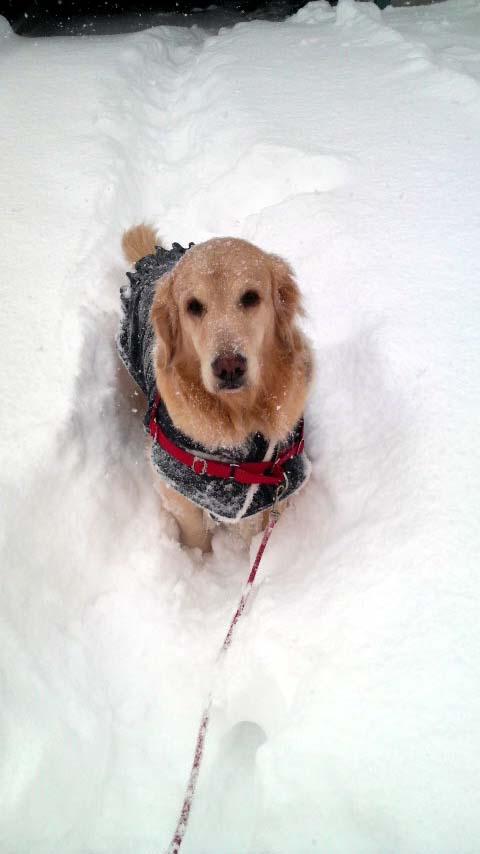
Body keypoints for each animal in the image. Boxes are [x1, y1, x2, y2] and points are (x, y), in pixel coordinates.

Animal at [118, 224, 312, 552]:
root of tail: (156, 258)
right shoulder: (174, 482)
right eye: (193, 306)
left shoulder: (285, 481)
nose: (229, 367)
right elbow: (197, 536)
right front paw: (202, 561)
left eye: (250, 297)